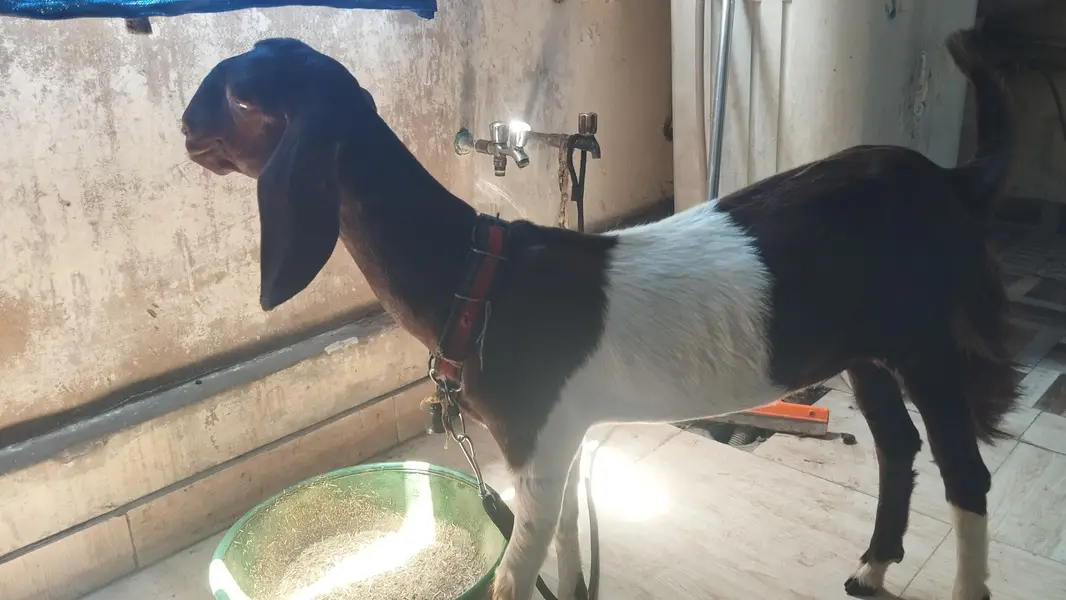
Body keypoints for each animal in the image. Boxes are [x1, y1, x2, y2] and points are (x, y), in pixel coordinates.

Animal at [181, 28, 1018, 600]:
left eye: (243, 97)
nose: (187, 129)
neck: (477, 278)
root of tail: (949, 180)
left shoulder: (535, 441)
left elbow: (516, 575)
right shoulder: (563, 438)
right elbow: (566, 546)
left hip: (926, 338)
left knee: (966, 472)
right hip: (865, 347)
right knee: (898, 447)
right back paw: (872, 568)